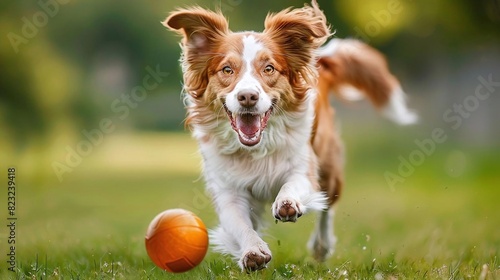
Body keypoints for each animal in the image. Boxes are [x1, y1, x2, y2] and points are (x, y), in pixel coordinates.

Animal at [163, 0, 414, 272]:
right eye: (227, 69)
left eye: (269, 68)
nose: (248, 96)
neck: (256, 149)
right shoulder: (228, 188)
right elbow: (240, 224)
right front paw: (252, 251)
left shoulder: (304, 164)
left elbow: (293, 184)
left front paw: (287, 203)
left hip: (329, 167)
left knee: (327, 206)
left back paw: (321, 245)